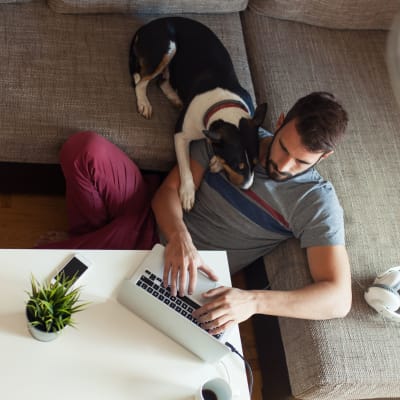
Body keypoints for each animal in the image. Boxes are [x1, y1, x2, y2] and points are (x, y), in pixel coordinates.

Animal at [130, 17, 268, 211]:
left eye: (256, 163)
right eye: (237, 165)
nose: (246, 187)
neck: (224, 105)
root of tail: (149, 25)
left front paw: (217, 161)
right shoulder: (180, 135)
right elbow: (185, 166)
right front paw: (187, 193)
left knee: (161, 82)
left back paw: (175, 98)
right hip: (168, 47)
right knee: (141, 82)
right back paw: (144, 103)